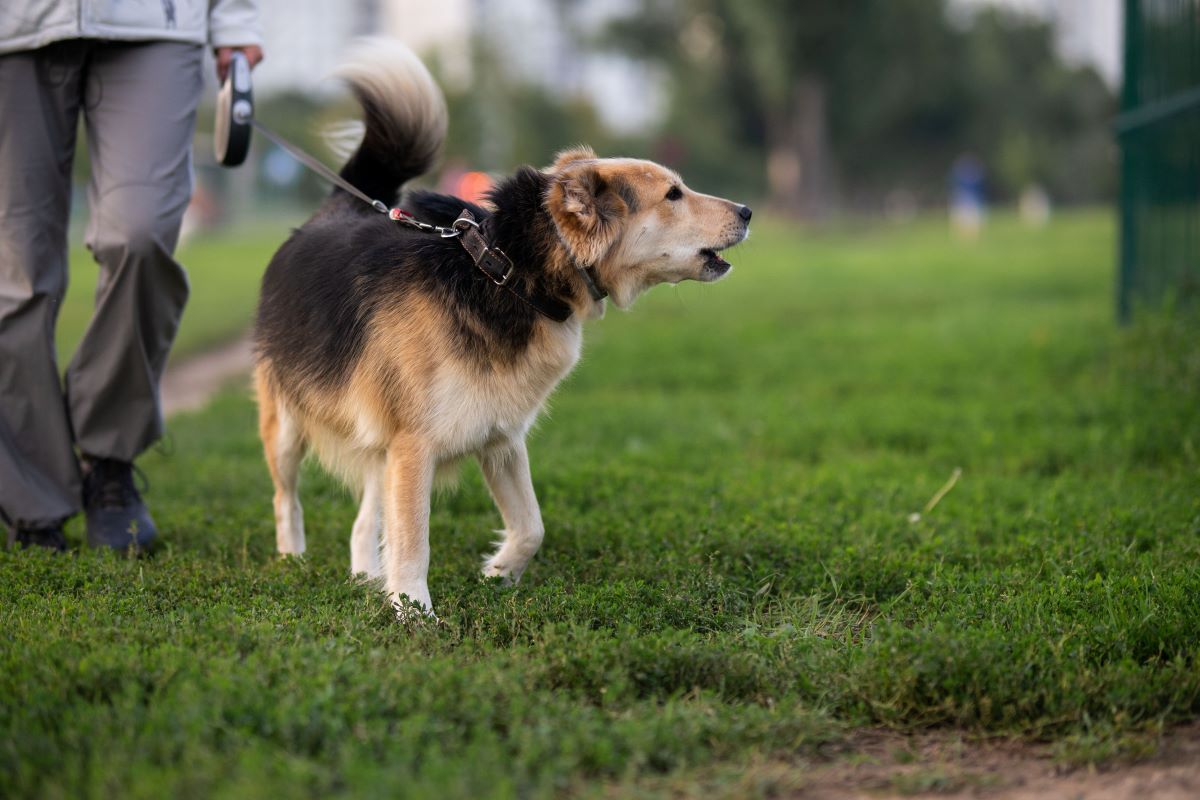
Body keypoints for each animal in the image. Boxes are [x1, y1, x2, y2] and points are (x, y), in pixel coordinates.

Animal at [254, 38, 748, 618]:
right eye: (673, 194)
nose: (747, 210)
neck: (508, 272)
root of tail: (333, 212)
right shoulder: (413, 446)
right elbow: (413, 540)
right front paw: (415, 613)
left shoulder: (500, 436)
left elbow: (531, 526)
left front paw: (498, 573)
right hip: (287, 424)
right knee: (285, 497)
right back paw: (294, 562)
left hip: (376, 438)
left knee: (362, 522)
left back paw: (364, 577)